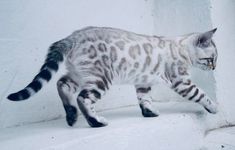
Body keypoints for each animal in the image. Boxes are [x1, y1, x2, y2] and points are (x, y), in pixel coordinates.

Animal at [6, 26, 218, 127]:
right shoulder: (181, 81)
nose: (215, 67)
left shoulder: (143, 82)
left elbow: (145, 99)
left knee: (61, 84)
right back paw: (95, 122)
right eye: (211, 59)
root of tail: (72, 37)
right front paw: (214, 107)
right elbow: (201, 94)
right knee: (83, 98)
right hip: (100, 78)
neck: (180, 47)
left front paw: (149, 113)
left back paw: (71, 115)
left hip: (79, 74)